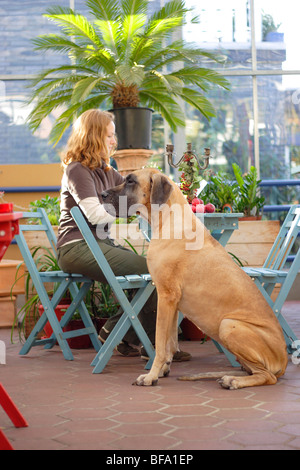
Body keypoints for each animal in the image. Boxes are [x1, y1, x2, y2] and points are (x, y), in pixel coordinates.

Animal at [101, 169, 288, 390]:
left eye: (130, 181)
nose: (102, 194)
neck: (168, 219)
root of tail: (284, 361)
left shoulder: (166, 296)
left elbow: (161, 343)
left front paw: (151, 376)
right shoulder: (172, 302)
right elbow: (170, 341)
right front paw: (163, 369)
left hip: (228, 325)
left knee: (267, 376)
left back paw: (234, 380)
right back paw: (230, 376)